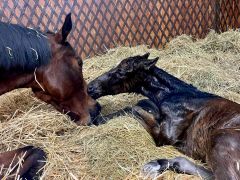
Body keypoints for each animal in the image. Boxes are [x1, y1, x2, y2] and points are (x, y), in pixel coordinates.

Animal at [87, 53, 240, 179]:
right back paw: (157, 164)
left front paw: (99, 118)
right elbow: (144, 104)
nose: (90, 87)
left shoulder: (165, 136)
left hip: (220, 141)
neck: (173, 95)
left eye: (121, 71)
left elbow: (133, 108)